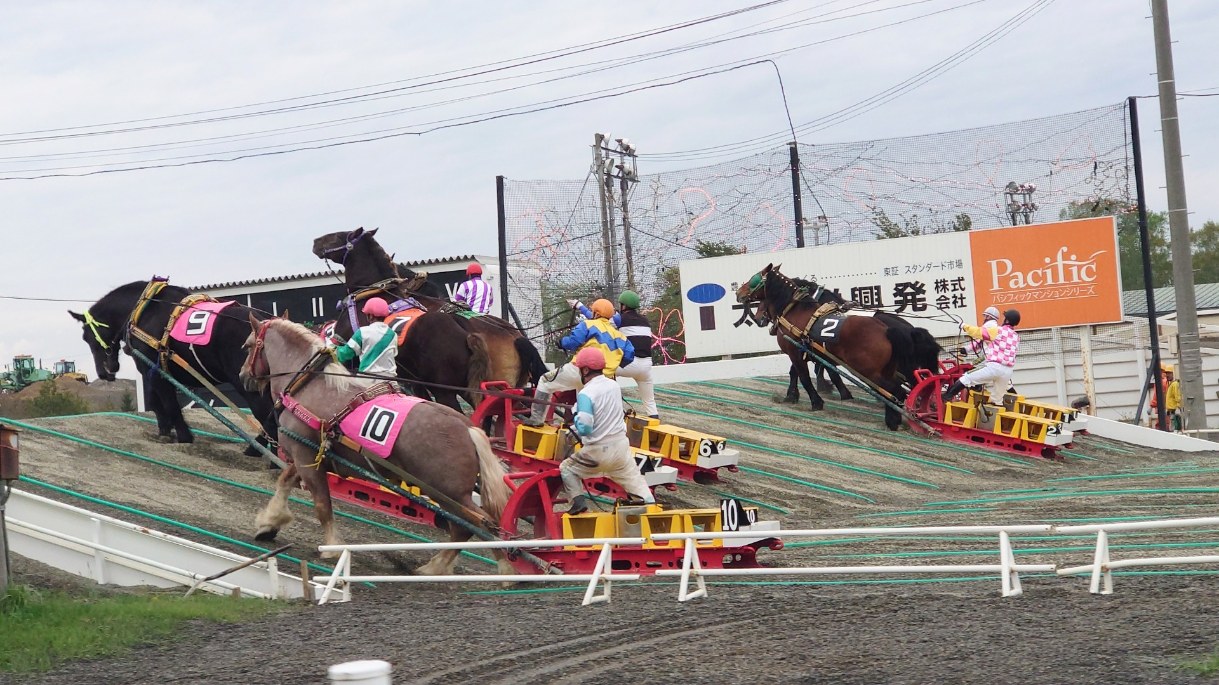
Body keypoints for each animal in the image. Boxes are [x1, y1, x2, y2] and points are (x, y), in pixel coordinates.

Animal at [70, 277, 277, 448]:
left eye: (87, 337)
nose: (104, 372)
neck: (146, 310)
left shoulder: (155, 370)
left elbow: (168, 403)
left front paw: (182, 435)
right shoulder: (152, 371)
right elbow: (155, 401)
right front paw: (165, 429)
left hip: (247, 383)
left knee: (267, 416)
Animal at [242, 316, 514, 572]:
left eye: (247, 346)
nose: (243, 376)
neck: (310, 386)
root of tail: (468, 429)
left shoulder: (306, 457)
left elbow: (322, 505)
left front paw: (332, 547)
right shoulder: (308, 456)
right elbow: (284, 481)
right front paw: (269, 523)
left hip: (449, 494)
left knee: (475, 525)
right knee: (475, 526)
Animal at [312, 226, 546, 402]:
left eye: (340, 235)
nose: (316, 241)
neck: (376, 293)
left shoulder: (346, 351)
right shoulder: (413, 379)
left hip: (452, 389)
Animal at [731, 260, 916, 426]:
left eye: (754, 279)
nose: (738, 292)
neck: (796, 311)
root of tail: (887, 330)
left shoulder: (795, 351)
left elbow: (806, 376)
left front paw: (816, 400)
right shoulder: (806, 351)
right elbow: (800, 372)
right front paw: (793, 395)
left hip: (868, 369)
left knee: (894, 390)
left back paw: (893, 419)